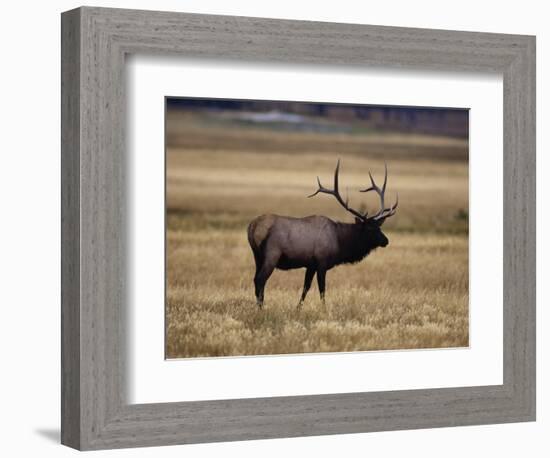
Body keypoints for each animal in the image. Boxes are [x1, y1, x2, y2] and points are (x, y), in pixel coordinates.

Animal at [248, 160, 398, 308]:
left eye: (379, 227)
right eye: (369, 229)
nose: (386, 241)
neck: (340, 242)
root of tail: (253, 227)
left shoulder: (311, 265)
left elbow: (306, 287)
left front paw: (298, 308)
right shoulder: (322, 262)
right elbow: (322, 289)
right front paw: (324, 309)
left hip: (257, 256)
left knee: (255, 279)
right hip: (272, 254)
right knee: (260, 280)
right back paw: (261, 308)